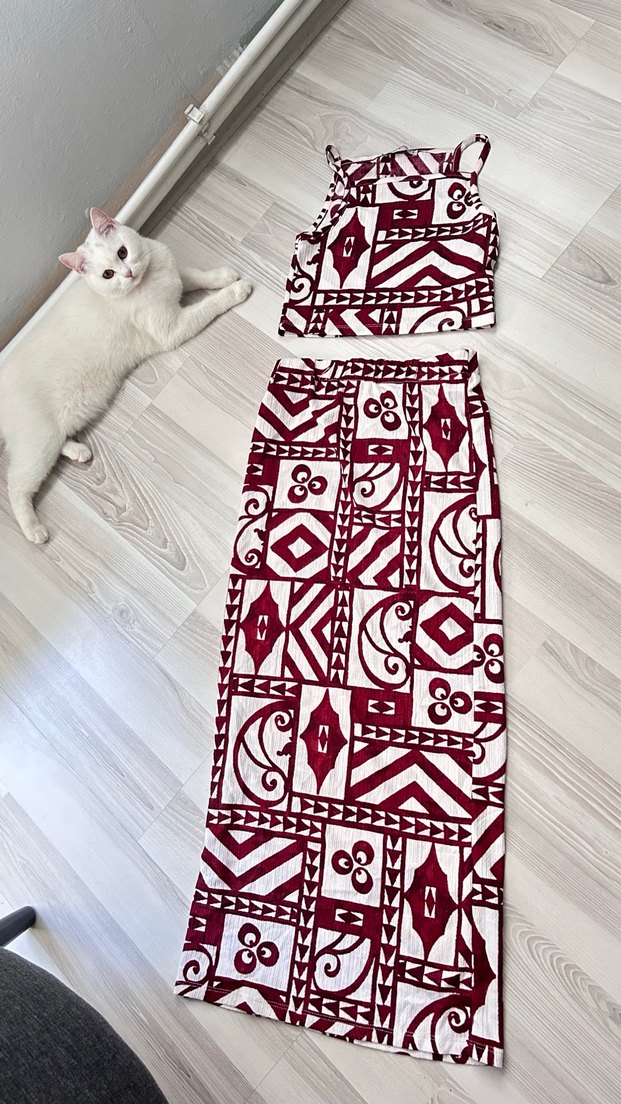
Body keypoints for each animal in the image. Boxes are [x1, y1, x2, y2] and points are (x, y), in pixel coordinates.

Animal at [0, 208, 252, 543]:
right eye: (108, 275)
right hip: (37, 441)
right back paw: (34, 530)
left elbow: (197, 275)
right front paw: (235, 290)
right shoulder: (173, 329)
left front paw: (223, 276)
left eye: (122, 252)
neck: (151, 280)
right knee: (16, 485)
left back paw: (78, 450)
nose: (128, 273)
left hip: (48, 436)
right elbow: (208, 305)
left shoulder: (177, 275)